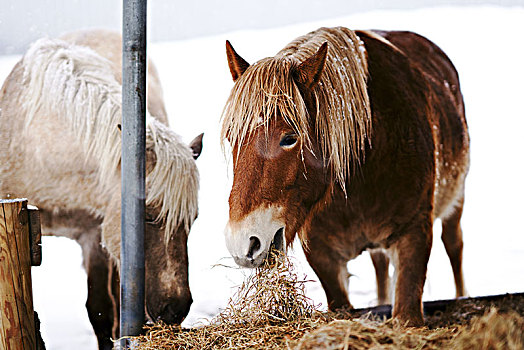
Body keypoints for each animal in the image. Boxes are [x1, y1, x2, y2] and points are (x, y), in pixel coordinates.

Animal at [220, 26, 466, 326]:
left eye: (289, 138)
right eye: (232, 138)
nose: (243, 243)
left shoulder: (414, 235)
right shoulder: (323, 257)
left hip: (456, 200)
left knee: (454, 245)